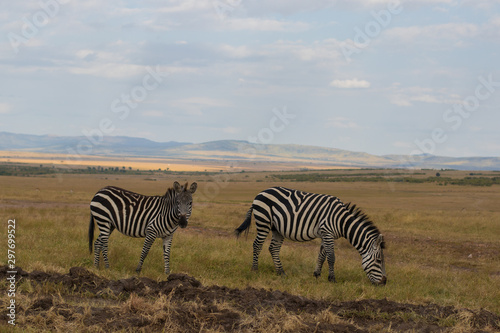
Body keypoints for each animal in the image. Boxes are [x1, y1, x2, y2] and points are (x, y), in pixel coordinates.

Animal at [234, 185, 386, 284]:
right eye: (379, 260)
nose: (384, 282)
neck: (341, 221)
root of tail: (260, 193)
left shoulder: (325, 234)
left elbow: (322, 256)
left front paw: (317, 275)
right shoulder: (327, 232)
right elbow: (331, 257)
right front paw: (332, 279)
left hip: (277, 228)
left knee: (273, 248)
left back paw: (281, 272)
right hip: (263, 221)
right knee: (257, 245)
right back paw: (255, 269)